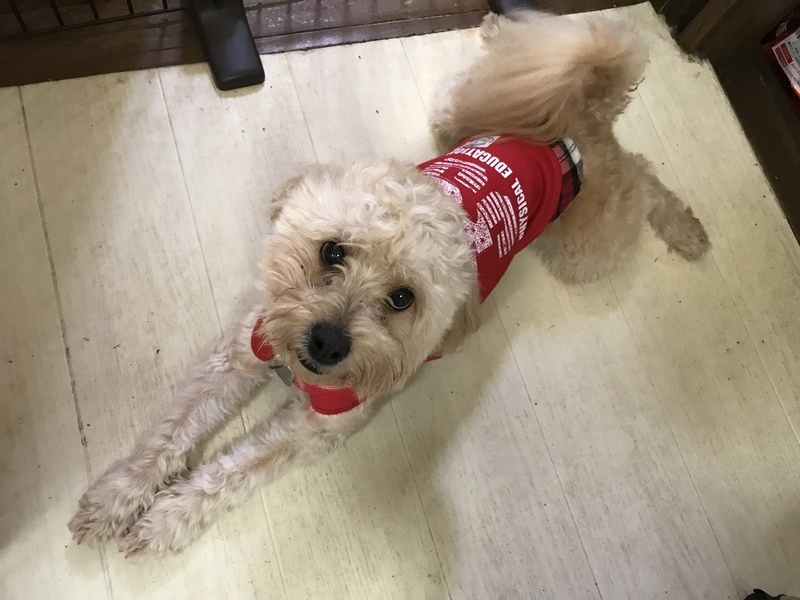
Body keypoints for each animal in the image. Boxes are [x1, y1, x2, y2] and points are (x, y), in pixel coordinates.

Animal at [68, 10, 709, 556]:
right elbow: (170, 431)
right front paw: (117, 500)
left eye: (403, 298)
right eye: (331, 250)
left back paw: (687, 228)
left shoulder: (316, 428)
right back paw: (499, 27)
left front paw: (162, 521)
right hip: (463, 111)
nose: (327, 342)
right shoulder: (243, 349)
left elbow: (224, 476)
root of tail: (583, 124)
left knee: (645, 176)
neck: (295, 370)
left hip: (584, 248)